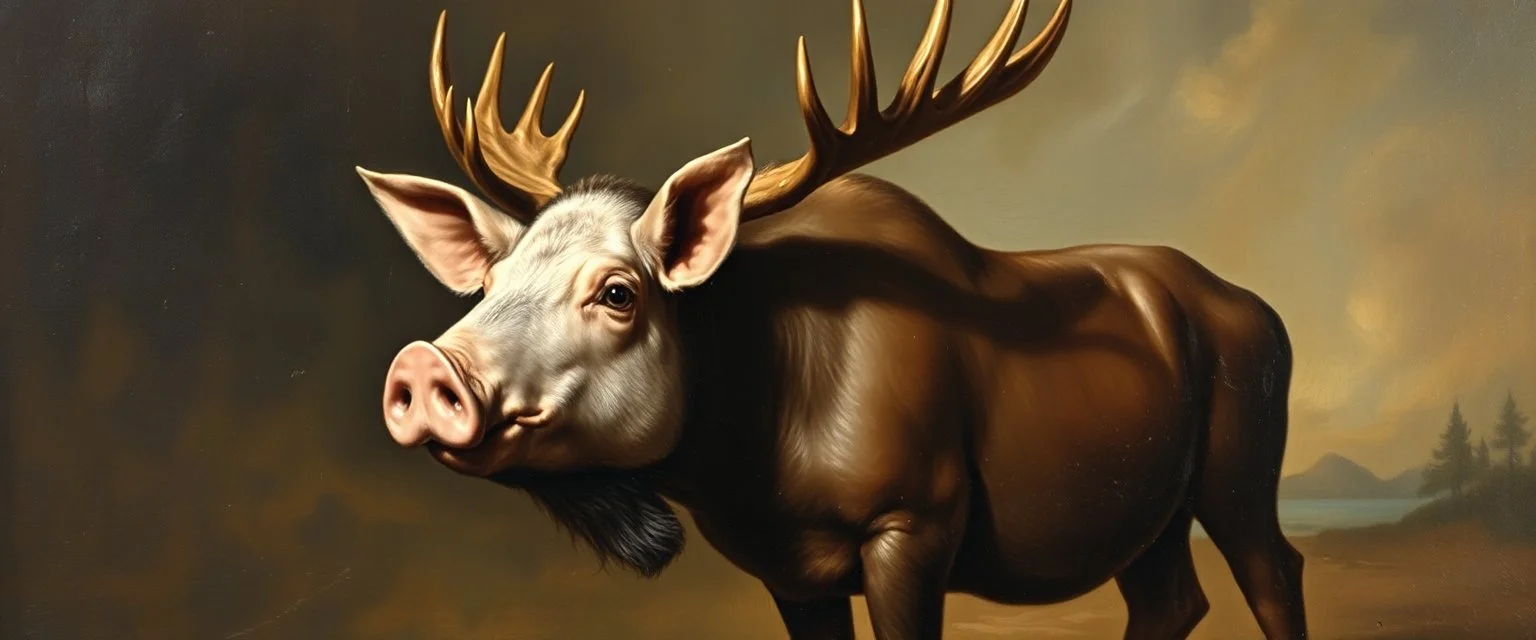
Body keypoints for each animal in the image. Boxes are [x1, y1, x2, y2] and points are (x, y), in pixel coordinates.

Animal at [353, 0, 1310, 637]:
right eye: (489, 279)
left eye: (619, 291)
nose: (425, 366)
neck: (751, 454)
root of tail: (1267, 313)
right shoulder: (791, 568)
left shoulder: (914, 523)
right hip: (1148, 510)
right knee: (1171, 599)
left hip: (1240, 474)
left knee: (1274, 572)